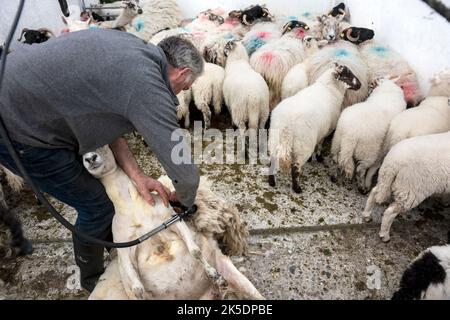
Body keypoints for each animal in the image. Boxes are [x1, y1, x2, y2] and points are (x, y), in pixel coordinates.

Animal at [82, 146, 262, 302]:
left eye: (103, 145)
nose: (90, 158)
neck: (131, 205)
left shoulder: (173, 221)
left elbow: (195, 251)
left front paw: (213, 274)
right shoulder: (125, 250)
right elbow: (138, 289)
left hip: (229, 271)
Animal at [268, 62, 362, 192]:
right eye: (347, 74)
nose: (360, 85)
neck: (329, 89)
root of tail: (287, 126)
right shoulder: (326, 130)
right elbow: (320, 144)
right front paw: (319, 157)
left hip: (275, 138)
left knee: (272, 160)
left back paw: (271, 182)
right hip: (303, 145)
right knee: (295, 168)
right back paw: (297, 188)